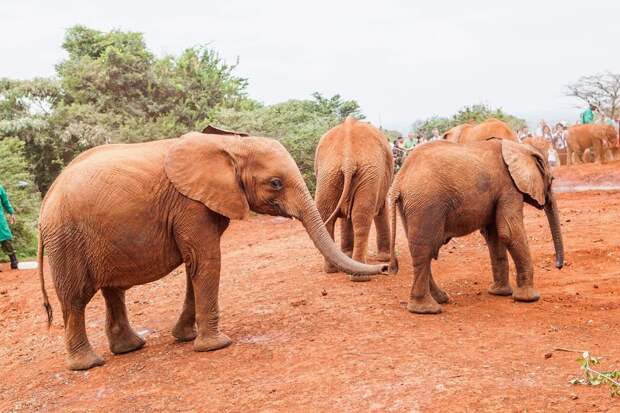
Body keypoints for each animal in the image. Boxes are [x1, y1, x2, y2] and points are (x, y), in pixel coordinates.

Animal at [37, 130, 388, 368]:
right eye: (275, 183)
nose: (385, 268)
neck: (230, 145)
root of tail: (47, 200)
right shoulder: (190, 205)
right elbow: (206, 261)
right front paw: (217, 346)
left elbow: (195, 266)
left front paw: (185, 338)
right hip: (67, 239)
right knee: (75, 298)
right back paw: (89, 364)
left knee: (113, 291)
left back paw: (130, 348)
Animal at [312, 116, 394, 276]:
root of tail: (348, 160)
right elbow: (380, 208)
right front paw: (384, 258)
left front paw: (347, 255)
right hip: (366, 174)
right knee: (361, 216)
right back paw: (359, 274)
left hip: (329, 174)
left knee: (328, 215)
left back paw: (332, 270)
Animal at [390, 138, 564, 312]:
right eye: (552, 180)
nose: (558, 266)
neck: (520, 147)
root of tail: (399, 178)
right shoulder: (509, 187)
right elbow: (509, 232)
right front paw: (530, 298)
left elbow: (494, 236)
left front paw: (500, 293)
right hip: (426, 202)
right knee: (425, 249)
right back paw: (428, 309)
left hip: (411, 205)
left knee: (422, 250)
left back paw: (440, 299)